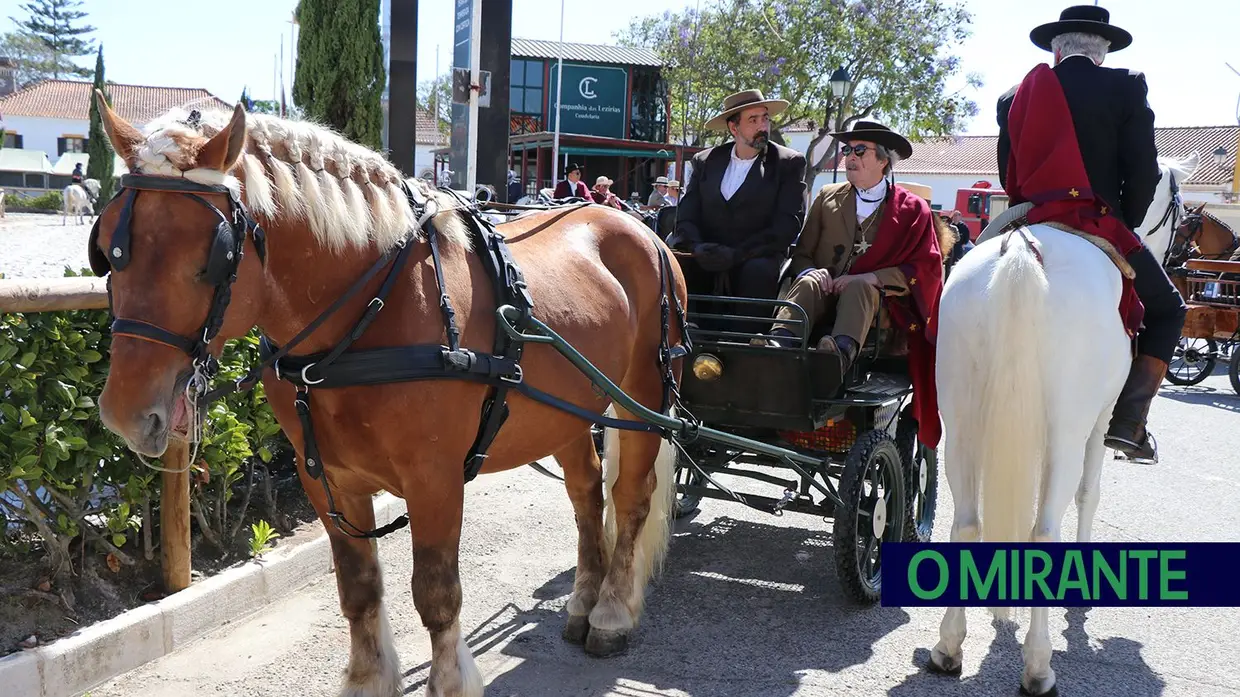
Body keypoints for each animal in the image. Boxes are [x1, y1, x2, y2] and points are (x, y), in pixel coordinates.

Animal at [87, 93, 689, 694]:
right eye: (108, 250)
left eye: (210, 257)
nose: (122, 413)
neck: (367, 312)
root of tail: (637, 227)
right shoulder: (325, 476)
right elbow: (358, 588)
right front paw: (368, 678)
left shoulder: (435, 478)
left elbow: (437, 594)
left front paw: (448, 681)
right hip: (567, 411)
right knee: (586, 493)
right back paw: (585, 598)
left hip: (643, 399)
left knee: (630, 498)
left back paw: (611, 611)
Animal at [932, 158, 1185, 694]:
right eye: (1177, 206)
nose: (1183, 253)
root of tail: (1022, 253)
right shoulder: (1098, 424)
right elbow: (1089, 494)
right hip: (1067, 434)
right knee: (1045, 529)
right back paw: (1038, 665)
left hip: (961, 427)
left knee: (967, 521)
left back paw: (948, 647)